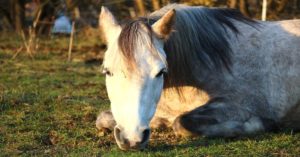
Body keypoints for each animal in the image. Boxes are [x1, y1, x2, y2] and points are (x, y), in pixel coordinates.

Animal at [95, 4, 300, 150]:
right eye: (107, 71)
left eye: (160, 72)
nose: (132, 138)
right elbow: (102, 118)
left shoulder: (239, 105)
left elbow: (181, 123)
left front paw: (260, 124)